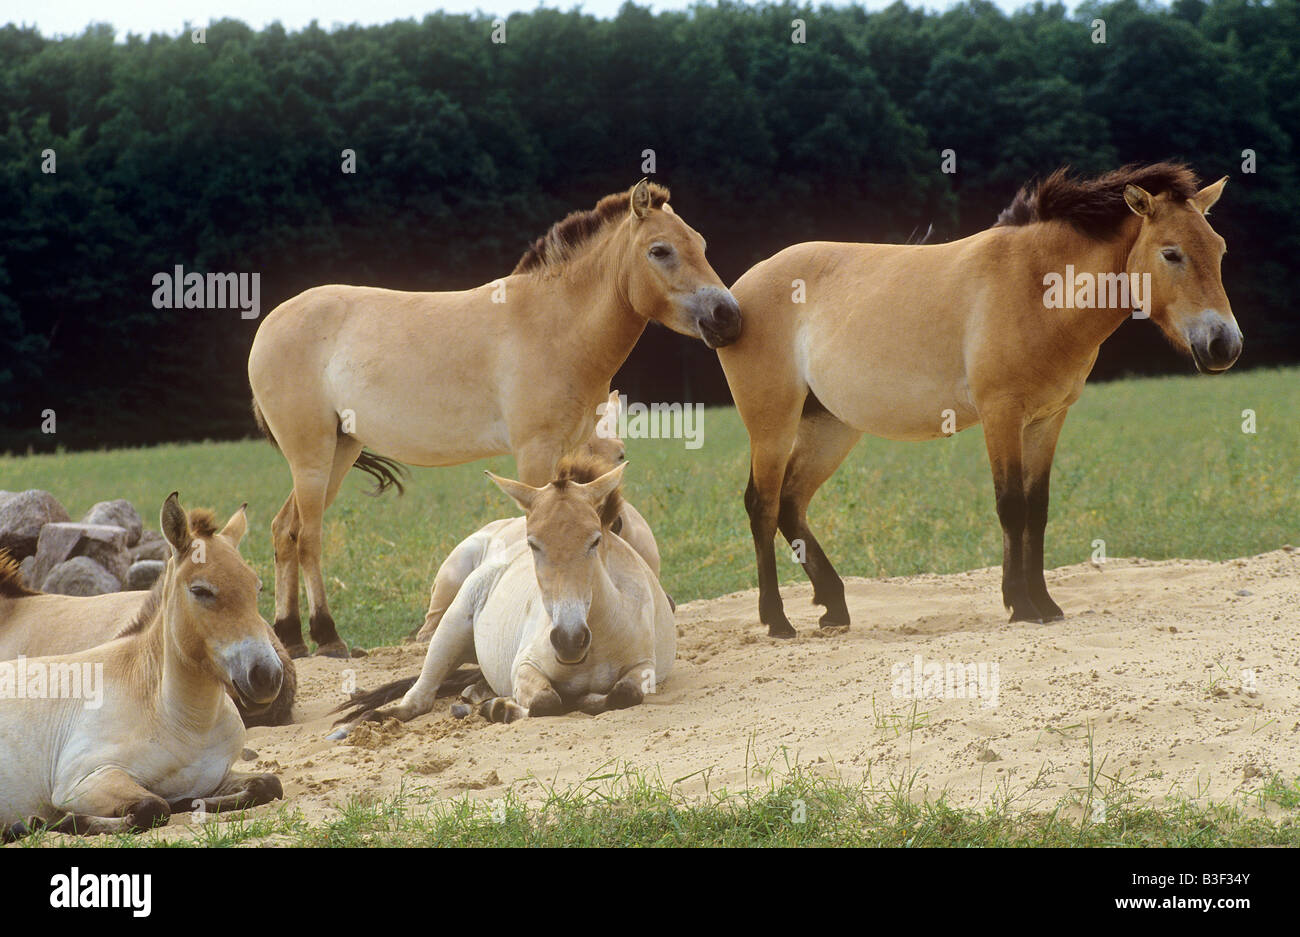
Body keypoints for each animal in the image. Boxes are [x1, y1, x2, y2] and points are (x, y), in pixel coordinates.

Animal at [0, 493, 284, 836]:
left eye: (256, 587)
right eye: (200, 590)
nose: (267, 675)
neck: (183, 722)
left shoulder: (218, 776)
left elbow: (268, 784)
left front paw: (191, 802)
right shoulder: (83, 782)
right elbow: (153, 806)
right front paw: (52, 821)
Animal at [248, 176, 738, 657]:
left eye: (700, 244)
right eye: (660, 250)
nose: (727, 315)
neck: (556, 324)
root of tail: (270, 324)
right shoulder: (536, 452)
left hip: (339, 451)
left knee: (284, 529)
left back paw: (291, 637)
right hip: (312, 456)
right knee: (308, 537)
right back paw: (327, 637)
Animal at [335, 454, 676, 732]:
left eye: (595, 540)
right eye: (533, 543)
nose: (569, 640)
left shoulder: (644, 669)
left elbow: (622, 694)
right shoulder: (525, 668)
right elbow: (546, 703)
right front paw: (500, 709)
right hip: (450, 628)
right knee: (417, 700)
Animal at [722, 162, 1237, 636]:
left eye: (1219, 249)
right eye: (1171, 254)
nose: (1224, 345)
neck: (1038, 288)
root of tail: (736, 294)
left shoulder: (1047, 420)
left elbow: (1037, 509)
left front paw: (1046, 604)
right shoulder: (1001, 415)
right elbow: (1011, 505)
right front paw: (1021, 605)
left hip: (831, 426)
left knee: (791, 503)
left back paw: (833, 607)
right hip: (773, 424)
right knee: (763, 506)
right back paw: (778, 621)